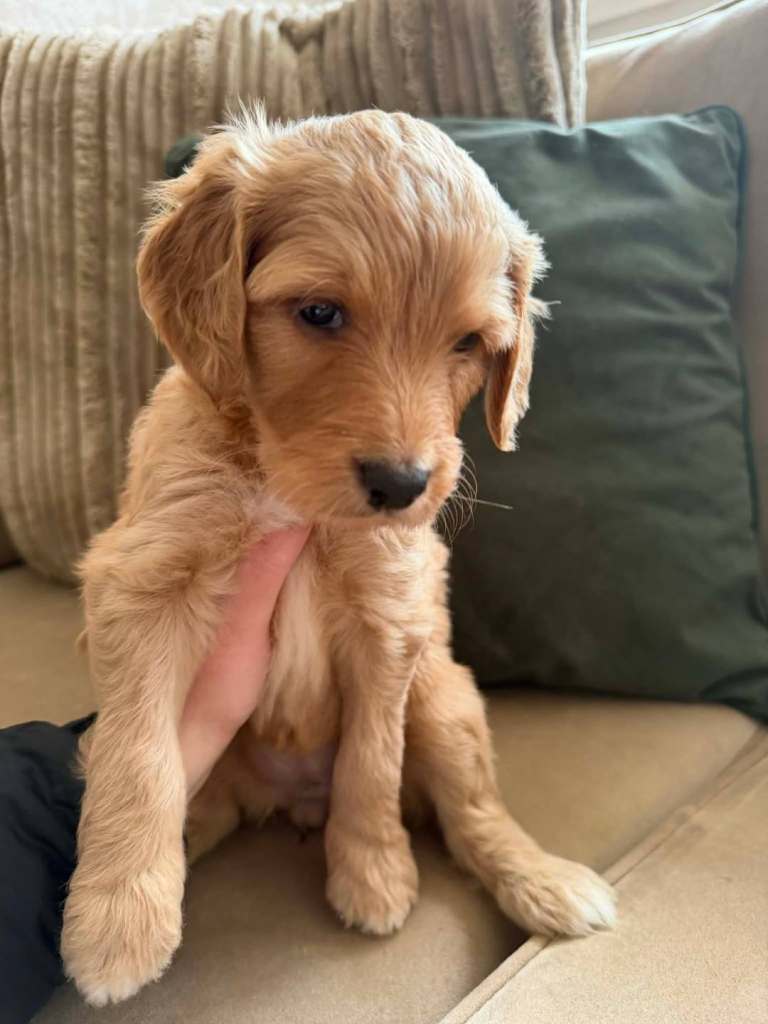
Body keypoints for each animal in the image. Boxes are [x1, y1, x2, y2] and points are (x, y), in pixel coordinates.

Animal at [61, 108, 616, 1006]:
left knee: (472, 811)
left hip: (446, 700)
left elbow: (371, 759)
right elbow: (137, 753)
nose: (402, 483)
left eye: (469, 342)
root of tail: (288, 800)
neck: (289, 494)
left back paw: (544, 881)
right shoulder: (142, 578)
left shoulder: (392, 617)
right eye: (319, 312)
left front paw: (374, 873)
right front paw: (118, 921)